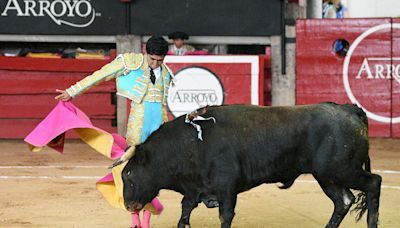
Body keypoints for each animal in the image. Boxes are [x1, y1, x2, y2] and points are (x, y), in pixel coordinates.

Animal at [119, 103, 382, 228]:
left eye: (129, 175)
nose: (128, 206)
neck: (191, 143)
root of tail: (349, 110)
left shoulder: (226, 187)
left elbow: (225, 216)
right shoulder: (194, 191)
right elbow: (184, 215)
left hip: (342, 170)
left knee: (373, 183)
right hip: (327, 176)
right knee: (344, 200)